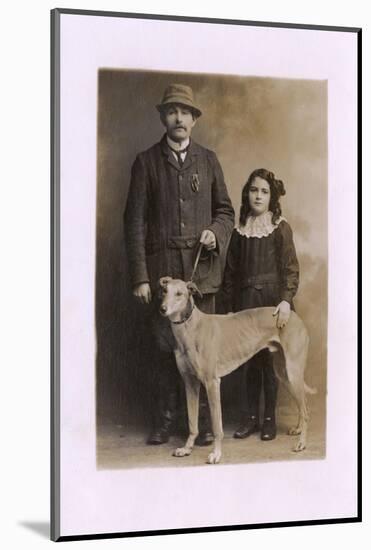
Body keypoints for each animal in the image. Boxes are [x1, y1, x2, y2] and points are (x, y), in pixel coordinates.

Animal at [157, 276, 316, 466]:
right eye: (164, 291)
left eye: (179, 293)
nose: (162, 309)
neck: (190, 327)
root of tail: (294, 316)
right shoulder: (190, 383)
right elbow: (192, 421)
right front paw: (187, 448)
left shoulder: (212, 383)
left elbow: (217, 426)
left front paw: (216, 454)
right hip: (284, 373)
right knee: (303, 403)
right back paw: (298, 429)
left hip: (292, 372)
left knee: (306, 411)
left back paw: (302, 443)